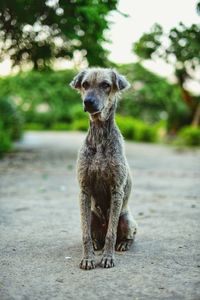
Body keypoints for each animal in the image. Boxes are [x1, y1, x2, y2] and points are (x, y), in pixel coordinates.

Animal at [70, 68, 138, 270]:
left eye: (106, 85)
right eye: (85, 84)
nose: (88, 102)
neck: (100, 137)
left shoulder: (116, 190)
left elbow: (111, 233)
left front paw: (108, 257)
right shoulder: (84, 190)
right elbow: (85, 233)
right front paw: (88, 258)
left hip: (127, 219)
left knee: (125, 234)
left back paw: (123, 244)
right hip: (93, 216)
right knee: (94, 235)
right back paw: (95, 244)